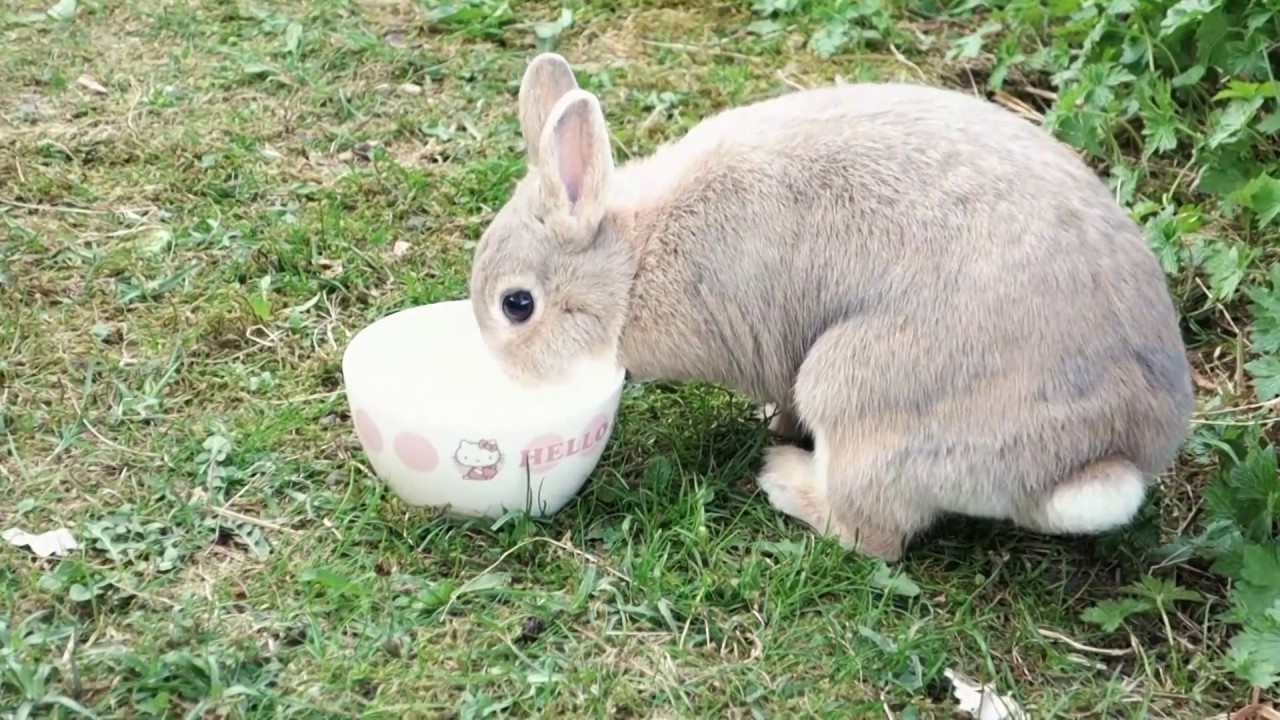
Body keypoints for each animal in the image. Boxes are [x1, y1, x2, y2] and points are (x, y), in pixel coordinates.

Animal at [466, 52, 1195, 561]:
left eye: (517, 304)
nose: (506, 375)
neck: (634, 262)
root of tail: (1105, 455)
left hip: (855, 388)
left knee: (877, 537)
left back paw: (786, 482)